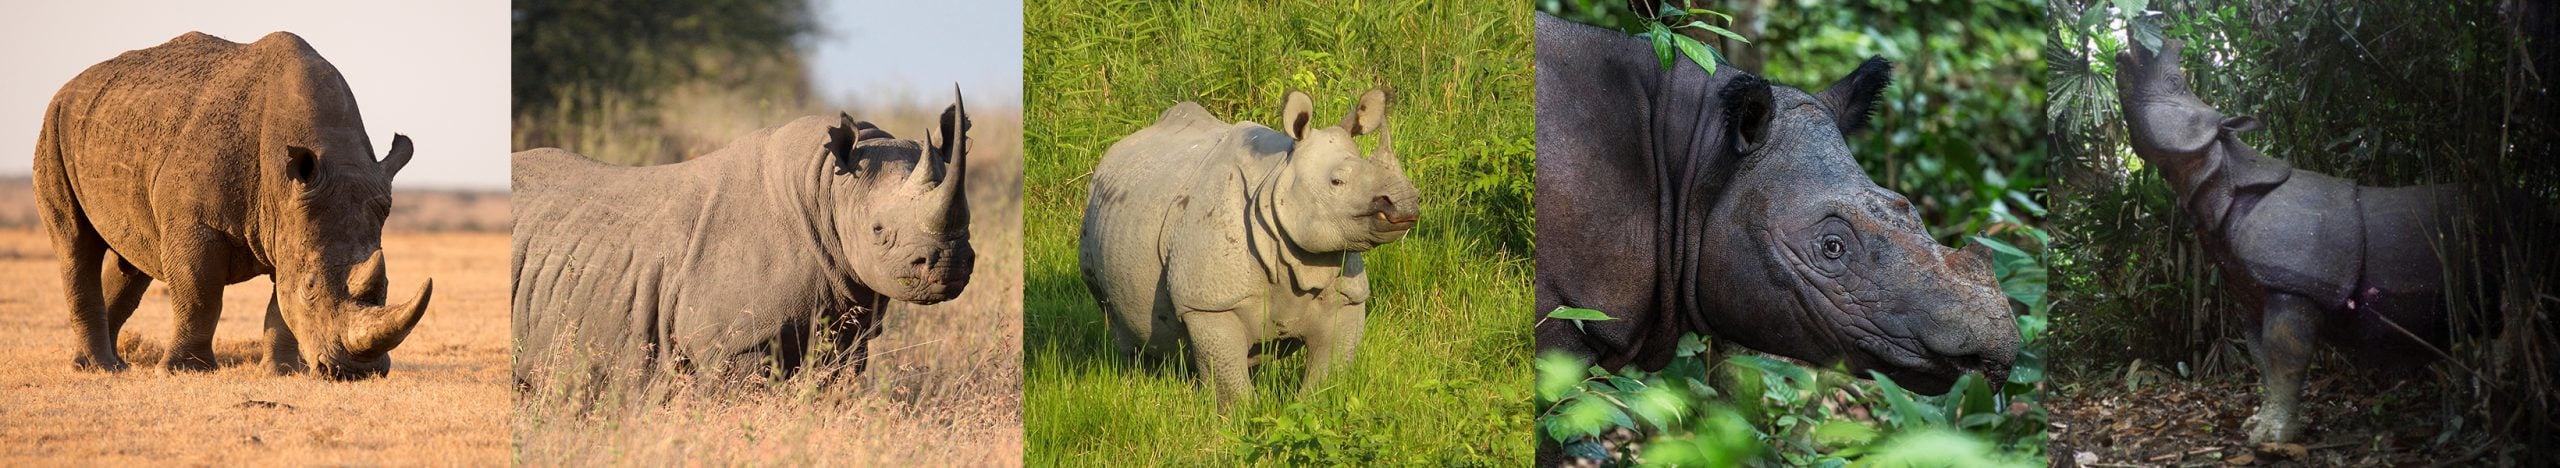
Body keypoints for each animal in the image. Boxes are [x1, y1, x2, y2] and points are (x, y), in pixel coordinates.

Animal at [32, 31, 434, 380]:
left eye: (387, 285)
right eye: (311, 286)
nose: (356, 372)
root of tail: (70, 84)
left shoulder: (288, 221)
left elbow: (279, 304)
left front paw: (281, 373)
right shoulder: (197, 224)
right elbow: (200, 295)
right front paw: (183, 372)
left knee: (133, 259)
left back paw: (111, 365)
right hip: (53, 124)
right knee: (76, 245)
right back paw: (95, 368)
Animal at [511, 91, 976, 386]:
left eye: (969, 221)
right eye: (879, 232)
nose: (949, 263)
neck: (827, 187)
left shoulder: (847, 333)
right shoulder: (734, 344)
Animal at [1078, 88, 1420, 404]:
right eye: (1336, 182)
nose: (1405, 203)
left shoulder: (1347, 293)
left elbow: (1329, 372)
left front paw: (1313, 406)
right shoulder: (1209, 302)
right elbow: (1229, 381)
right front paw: (1238, 420)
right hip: (1096, 214)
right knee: (1113, 313)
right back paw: (1138, 378)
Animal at [2115, 37, 2460, 443]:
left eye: (2174, 83)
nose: (2126, 51)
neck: (2222, 174)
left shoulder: (2294, 281)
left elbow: (2284, 358)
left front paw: (2273, 438)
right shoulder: (2251, 289)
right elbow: (2263, 359)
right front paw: (2258, 425)